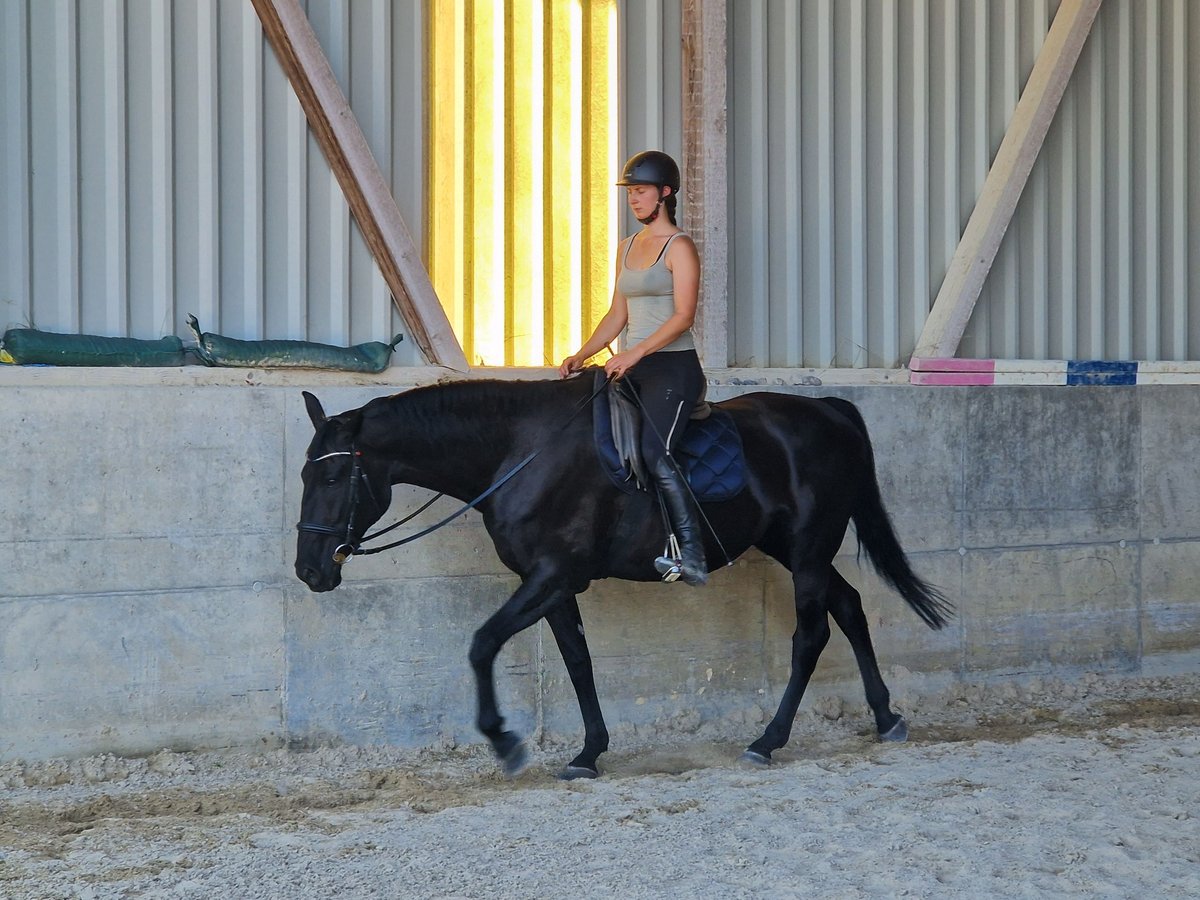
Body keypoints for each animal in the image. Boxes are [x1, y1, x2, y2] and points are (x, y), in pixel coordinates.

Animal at [295, 376, 950, 777]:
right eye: (306, 475)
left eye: (331, 478)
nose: (308, 571)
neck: (519, 452)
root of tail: (829, 410)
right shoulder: (554, 582)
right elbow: (577, 661)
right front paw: (589, 752)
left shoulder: (551, 574)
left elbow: (482, 644)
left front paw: (505, 741)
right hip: (793, 549)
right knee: (851, 606)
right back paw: (886, 718)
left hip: (810, 550)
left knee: (811, 635)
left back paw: (768, 741)